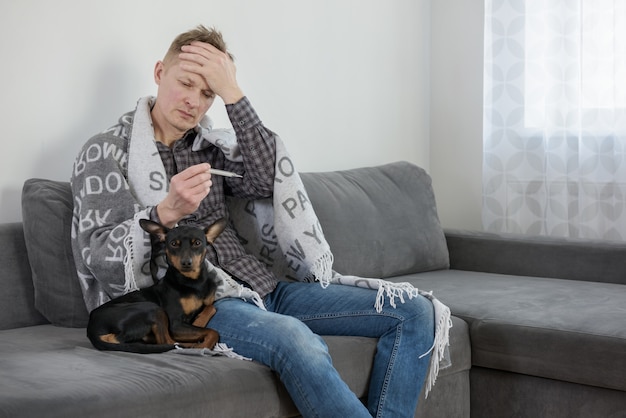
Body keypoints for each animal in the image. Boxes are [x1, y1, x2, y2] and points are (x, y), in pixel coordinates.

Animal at [86, 219, 224, 352]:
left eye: (197, 243)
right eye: (173, 244)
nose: (186, 263)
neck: (193, 282)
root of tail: (91, 329)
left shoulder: (208, 302)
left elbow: (211, 307)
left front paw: (199, 320)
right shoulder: (175, 325)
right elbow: (213, 332)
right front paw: (203, 344)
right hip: (152, 308)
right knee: (165, 341)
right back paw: (191, 346)